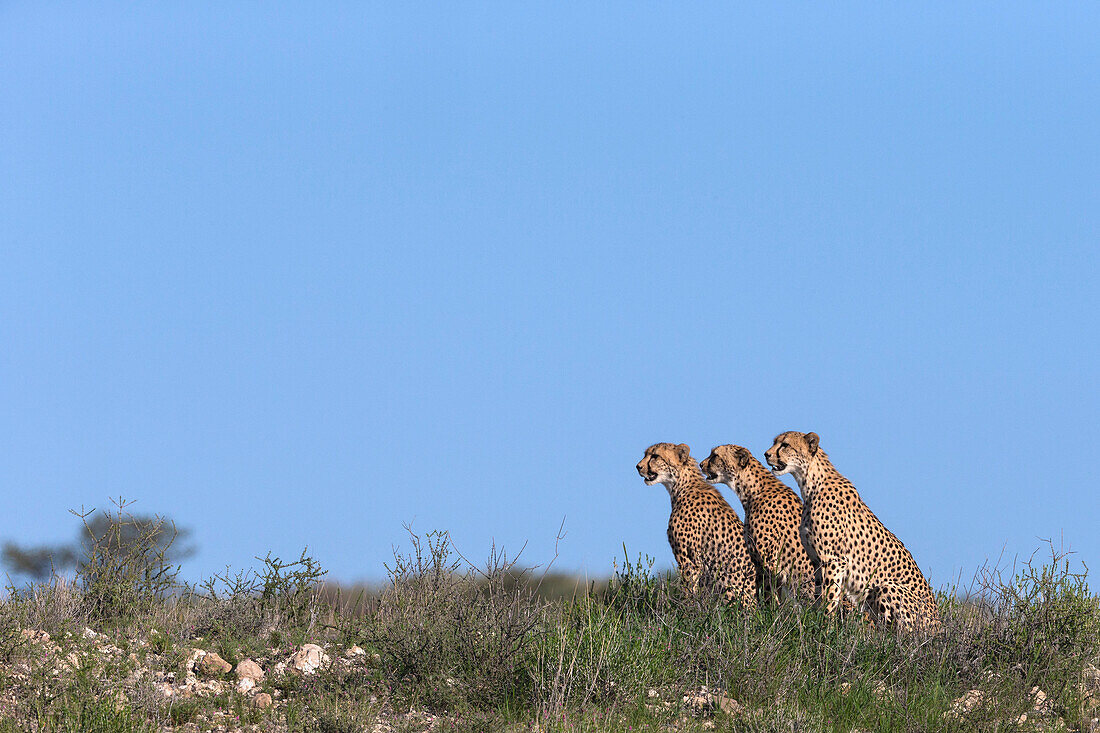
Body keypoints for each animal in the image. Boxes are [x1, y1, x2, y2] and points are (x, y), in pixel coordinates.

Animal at [638, 440, 756, 603]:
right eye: (645, 454)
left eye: (655, 456)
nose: (638, 466)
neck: (681, 485)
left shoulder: (688, 560)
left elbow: (689, 591)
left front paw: (686, 608)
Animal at [765, 431, 937, 629]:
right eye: (775, 442)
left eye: (785, 445)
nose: (766, 454)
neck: (810, 482)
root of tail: (939, 625)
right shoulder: (817, 561)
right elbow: (819, 595)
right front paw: (817, 624)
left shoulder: (834, 560)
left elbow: (830, 598)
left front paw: (825, 627)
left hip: (887, 588)